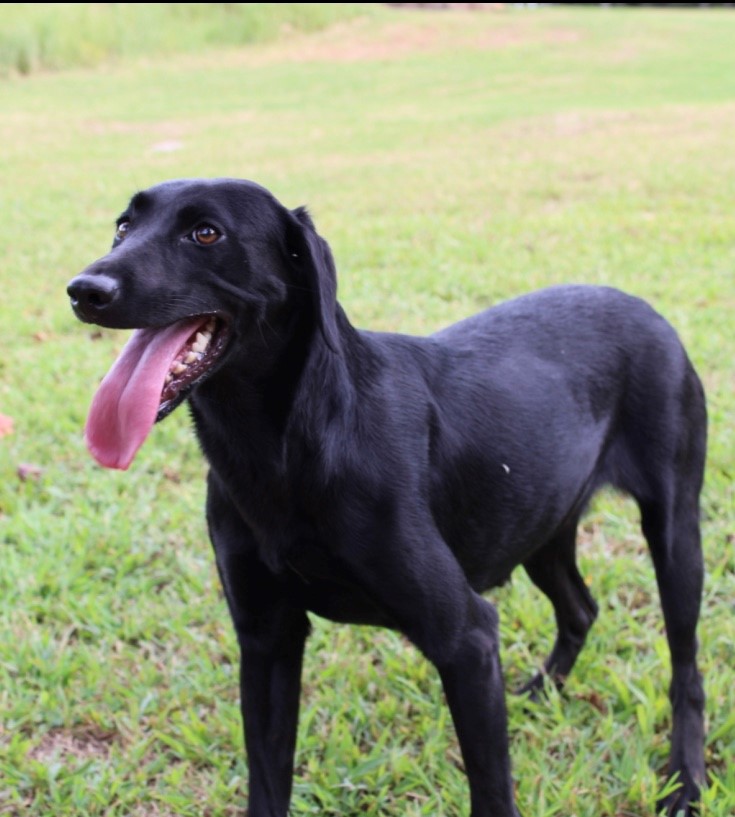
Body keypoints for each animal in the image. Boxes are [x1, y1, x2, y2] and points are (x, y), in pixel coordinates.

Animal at [67, 180, 708, 816]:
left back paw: (686, 780)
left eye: (206, 233)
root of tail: (643, 307)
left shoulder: (468, 640)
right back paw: (539, 693)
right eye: (123, 226)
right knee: (581, 608)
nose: (83, 290)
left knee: (686, 668)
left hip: (675, 534)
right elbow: (267, 782)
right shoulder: (266, 637)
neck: (283, 451)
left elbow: (491, 790)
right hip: (541, 526)